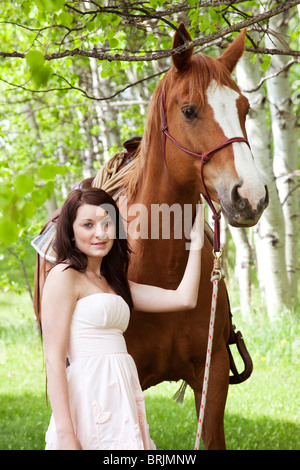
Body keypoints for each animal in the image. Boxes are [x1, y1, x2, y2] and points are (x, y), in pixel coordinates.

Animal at [32, 23, 268, 450]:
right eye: (189, 110)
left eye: (244, 109)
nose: (252, 196)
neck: (159, 266)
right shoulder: (128, 374)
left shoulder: (212, 378)